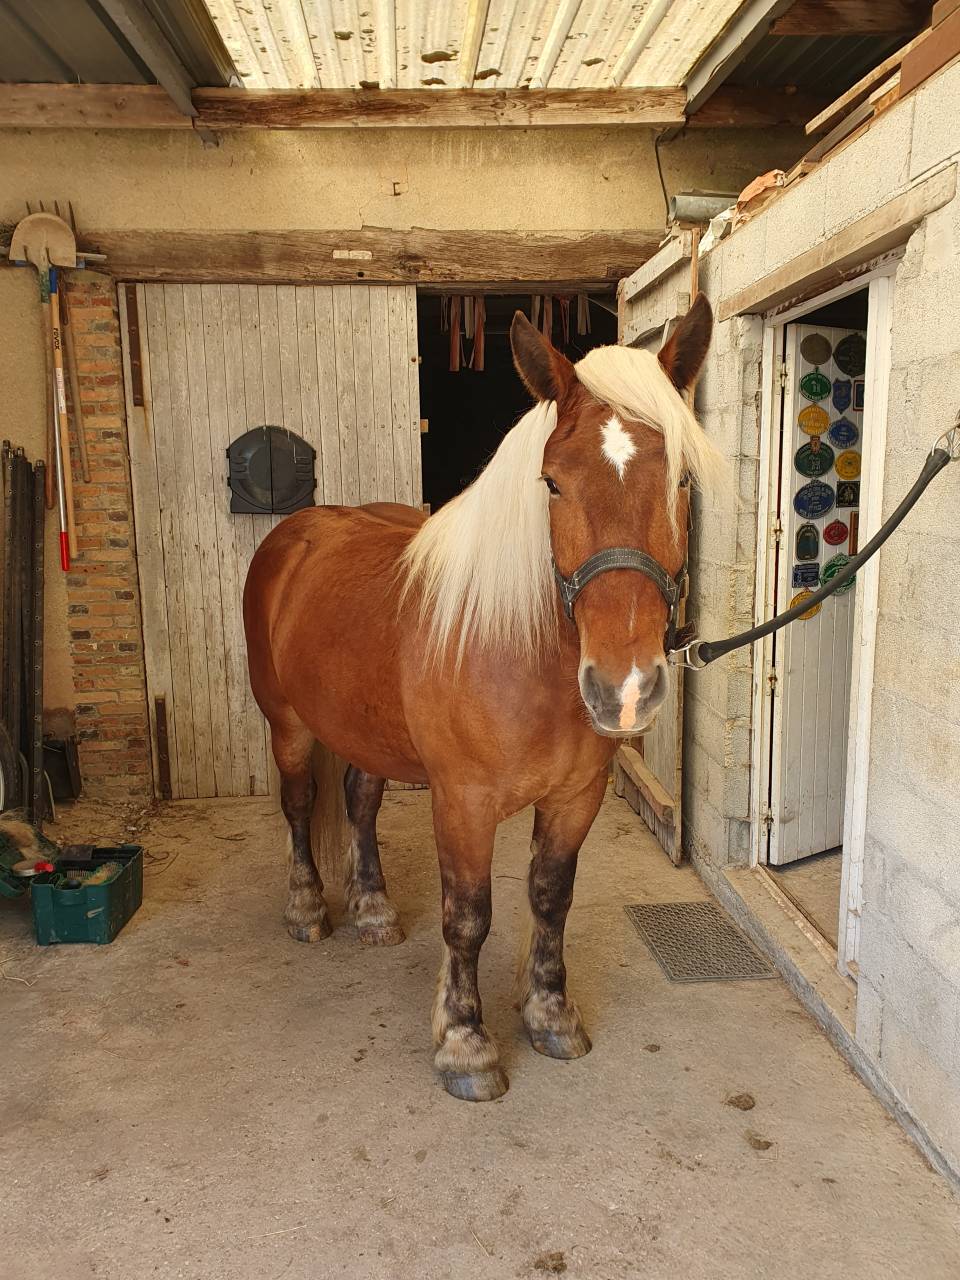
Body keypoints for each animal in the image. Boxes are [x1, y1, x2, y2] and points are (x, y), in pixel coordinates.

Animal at [243, 293, 724, 1102]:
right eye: (553, 482)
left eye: (682, 481)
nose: (624, 689)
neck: (519, 656)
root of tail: (297, 532)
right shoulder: (462, 804)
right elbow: (468, 918)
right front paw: (466, 1045)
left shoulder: (575, 797)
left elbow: (550, 899)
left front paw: (551, 1015)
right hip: (288, 726)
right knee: (302, 805)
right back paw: (308, 908)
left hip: (364, 729)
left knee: (361, 802)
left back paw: (372, 910)